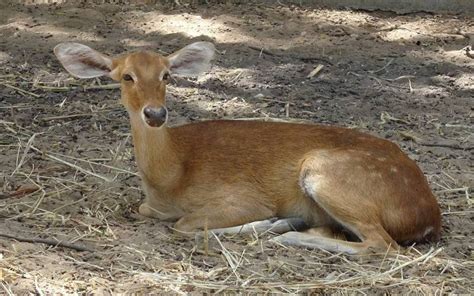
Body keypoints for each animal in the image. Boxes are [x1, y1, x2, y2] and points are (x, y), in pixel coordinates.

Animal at [53, 41, 442, 254]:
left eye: (167, 75)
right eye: (126, 76)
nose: (155, 113)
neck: (171, 176)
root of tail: (428, 216)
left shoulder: (242, 197)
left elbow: (186, 225)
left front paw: (273, 222)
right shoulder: (150, 205)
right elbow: (152, 213)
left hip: (325, 173)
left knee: (383, 245)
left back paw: (288, 232)